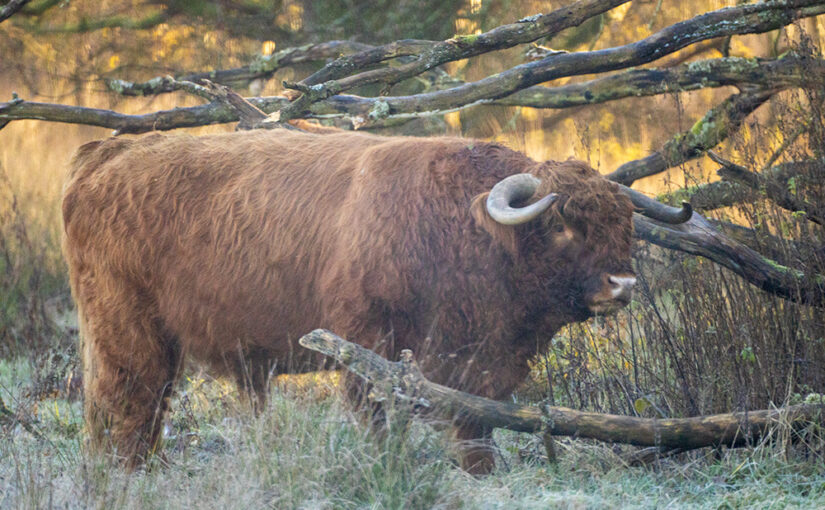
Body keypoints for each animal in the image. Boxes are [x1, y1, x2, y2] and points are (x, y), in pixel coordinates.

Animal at [62, 128, 686, 472]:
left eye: (623, 222)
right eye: (560, 224)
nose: (622, 285)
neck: (463, 225)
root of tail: (104, 154)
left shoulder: (476, 368)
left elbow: (475, 426)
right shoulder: (370, 347)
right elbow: (379, 418)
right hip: (130, 336)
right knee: (127, 407)